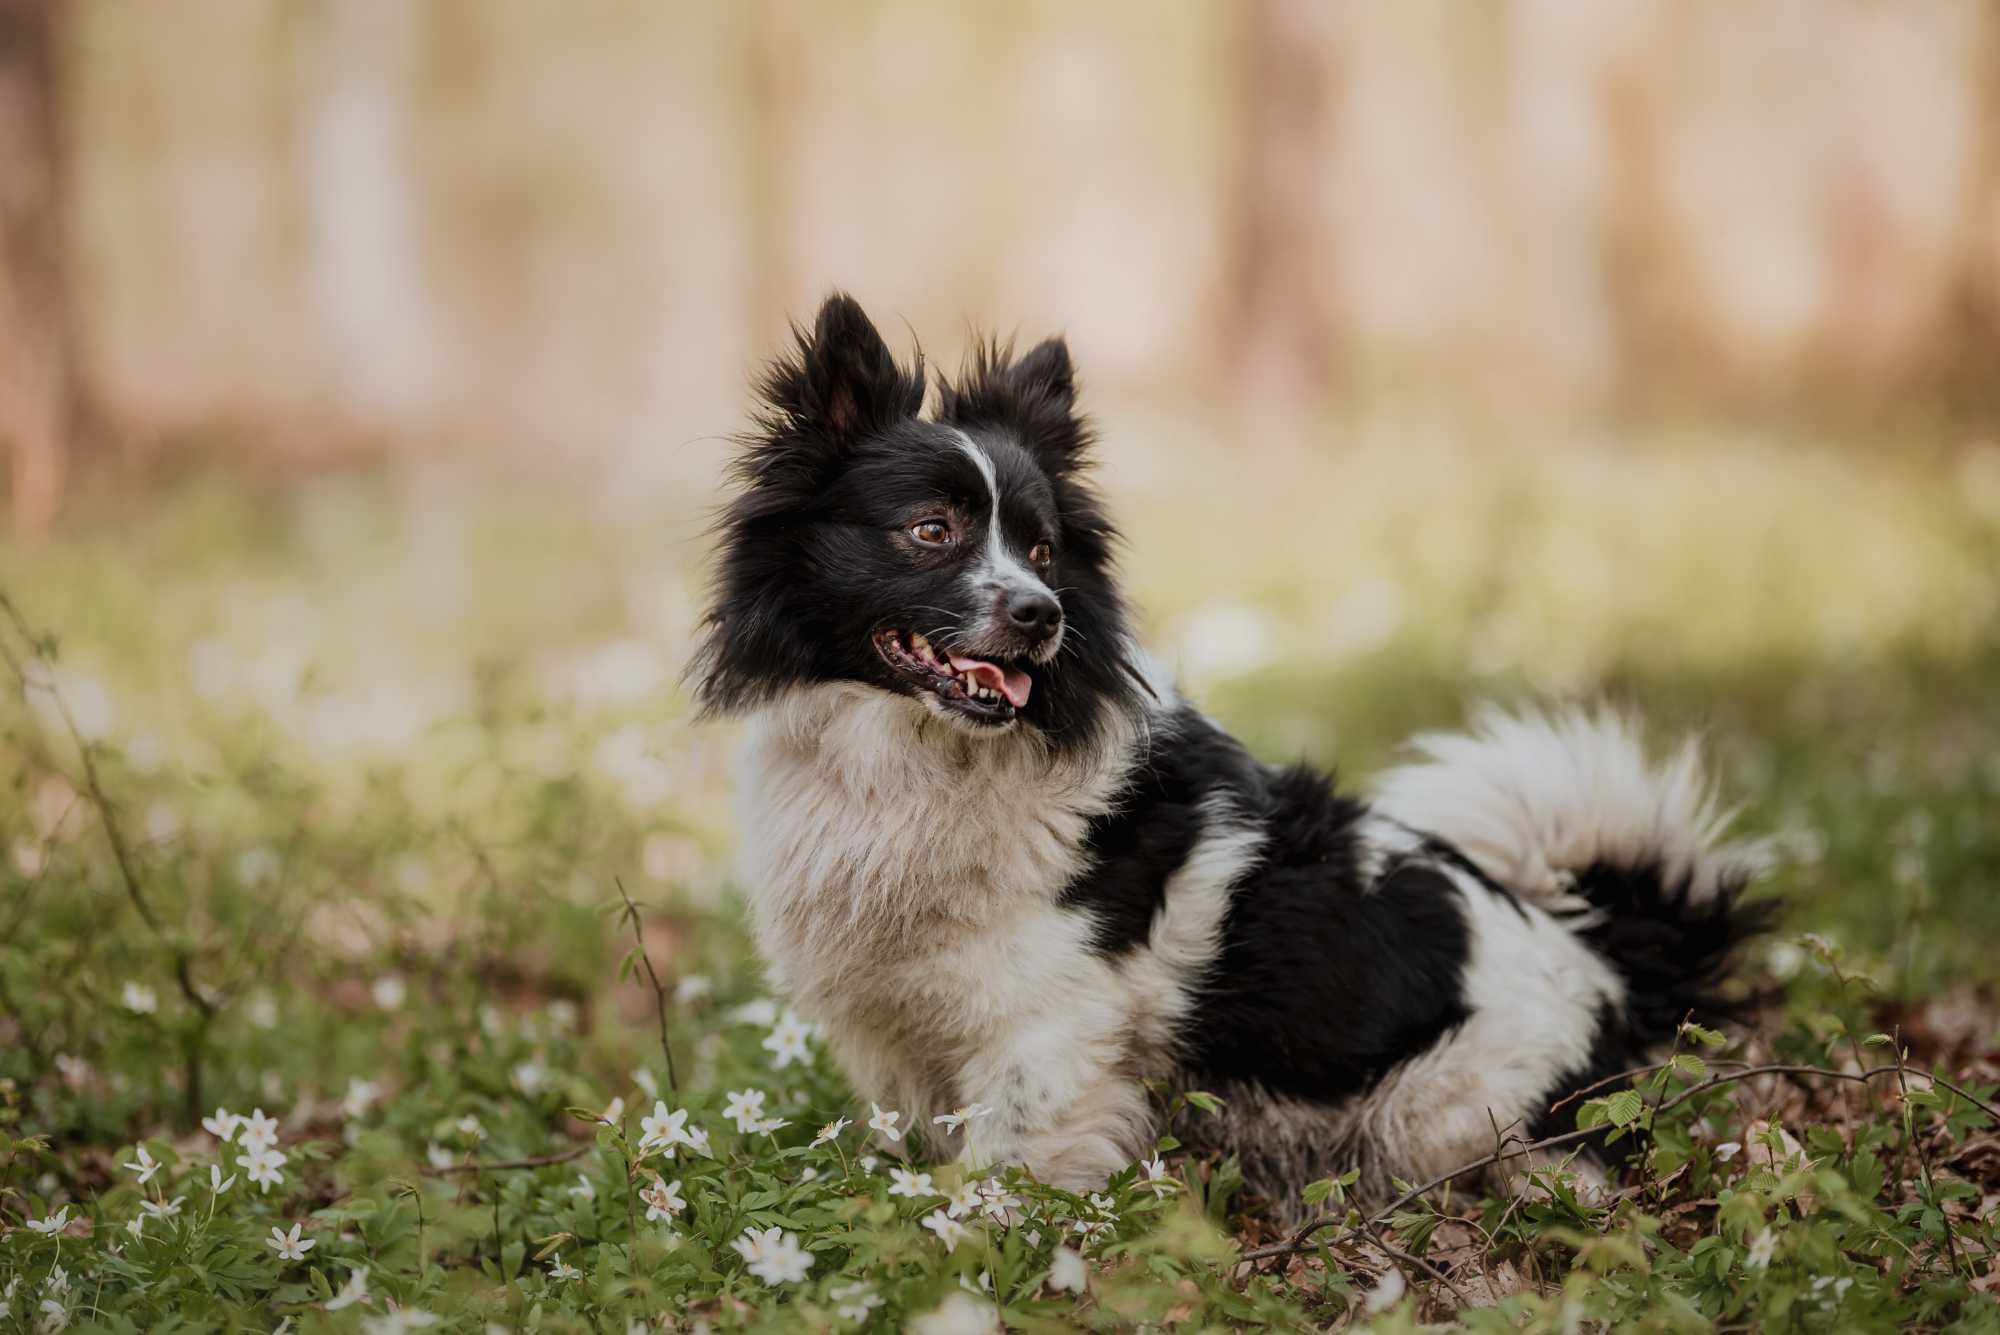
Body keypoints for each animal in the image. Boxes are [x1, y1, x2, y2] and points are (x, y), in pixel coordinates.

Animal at [692, 293, 1768, 1223]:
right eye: (930, 530)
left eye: (1042, 552)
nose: (1041, 617)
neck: (920, 754)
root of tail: (1611, 971)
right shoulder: (899, 1034)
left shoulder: (1046, 1037)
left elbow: (1006, 1181)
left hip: (1450, 1116)